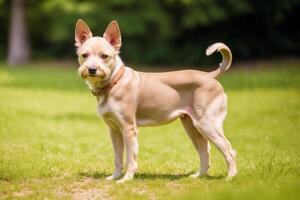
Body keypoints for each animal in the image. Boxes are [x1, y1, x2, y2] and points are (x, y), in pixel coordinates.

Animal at [74, 19, 237, 183]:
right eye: (84, 55)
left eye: (104, 56)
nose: (92, 69)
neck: (115, 82)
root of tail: (209, 76)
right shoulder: (114, 130)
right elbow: (117, 158)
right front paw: (114, 177)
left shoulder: (128, 128)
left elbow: (130, 158)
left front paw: (126, 179)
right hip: (192, 125)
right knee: (205, 150)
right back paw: (198, 176)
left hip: (207, 123)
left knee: (228, 149)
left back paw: (230, 177)